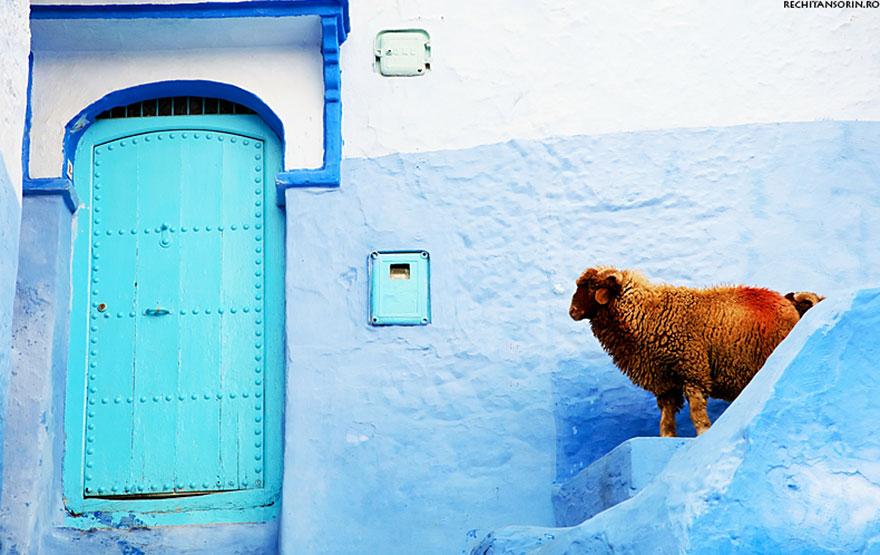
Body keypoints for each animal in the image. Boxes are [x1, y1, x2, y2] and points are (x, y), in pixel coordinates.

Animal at [572, 266, 804, 438]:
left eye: (592, 286)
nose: (572, 311)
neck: (647, 313)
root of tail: (784, 301)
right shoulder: (664, 381)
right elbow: (666, 414)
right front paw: (667, 436)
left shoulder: (692, 368)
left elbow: (696, 408)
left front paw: (703, 432)